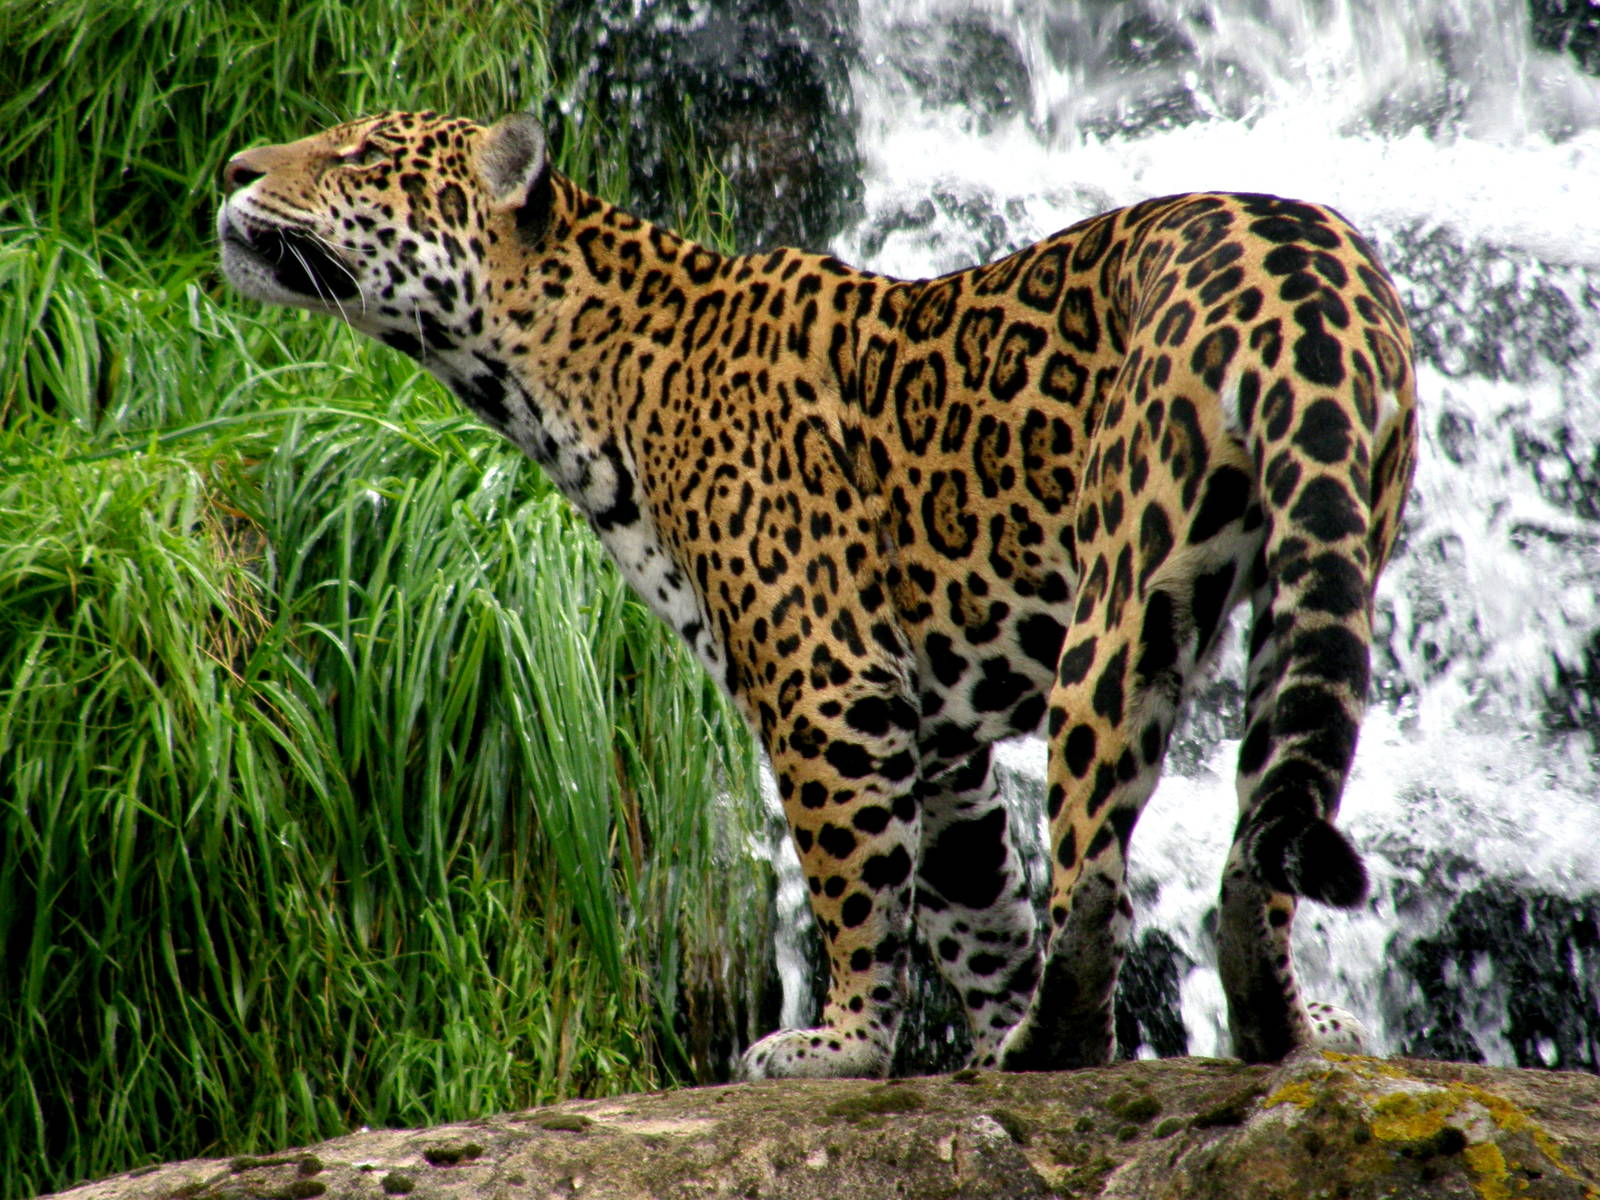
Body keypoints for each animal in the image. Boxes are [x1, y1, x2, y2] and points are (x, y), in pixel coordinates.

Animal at [218, 110, 1418, 1079]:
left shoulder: (828, 683)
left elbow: (854, 884)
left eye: (360, 154)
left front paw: (840, 1046)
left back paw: (1056, 1043)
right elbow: (974, 906)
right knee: (1268, 814)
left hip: (1124, 597)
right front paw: (968, 1036)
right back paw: (1276, 1025)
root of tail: (1306, 271)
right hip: (1325, 558)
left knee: (1094, 874)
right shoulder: (938, 736)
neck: (570, 378)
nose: (231, 168)